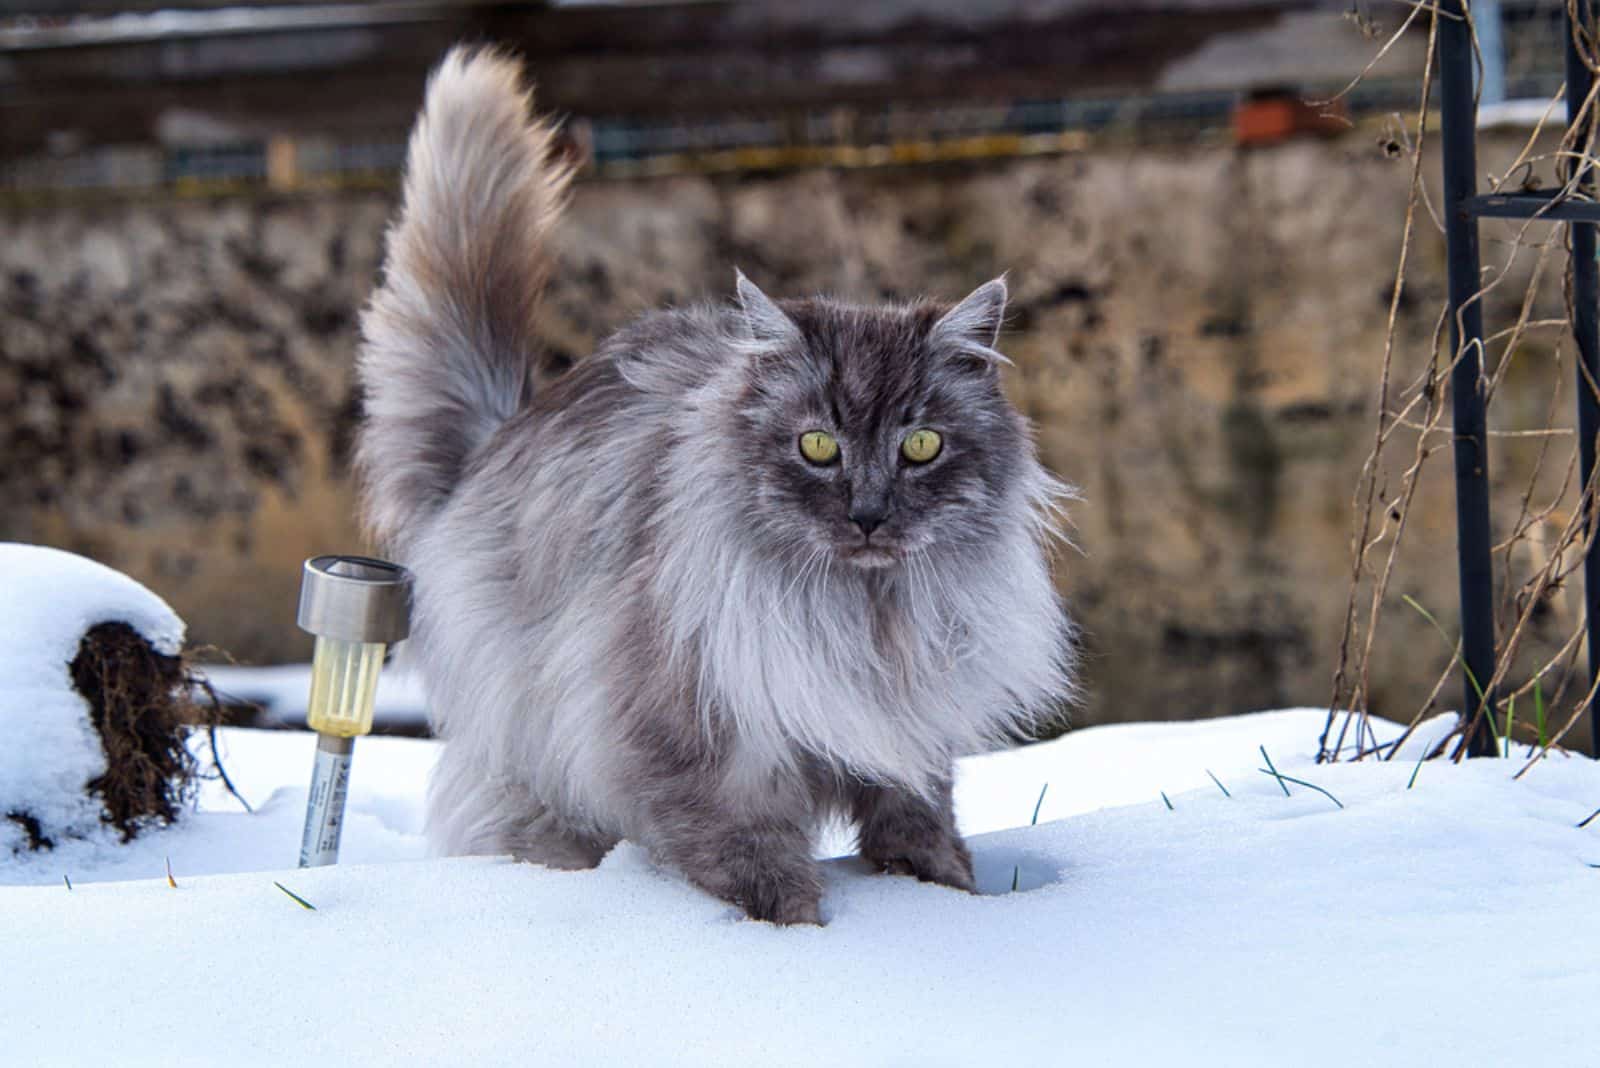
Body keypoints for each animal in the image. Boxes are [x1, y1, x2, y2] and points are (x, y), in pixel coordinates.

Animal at [363, 45, 1075, 920]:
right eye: (817, 446)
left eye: (921, 446)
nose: (869, 514)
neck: (867, 619)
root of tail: (497, 439)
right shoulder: (703, 741)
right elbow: (750, 857)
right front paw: (793, 934)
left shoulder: (907, 728)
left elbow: (919, 824)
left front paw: (948, 900)